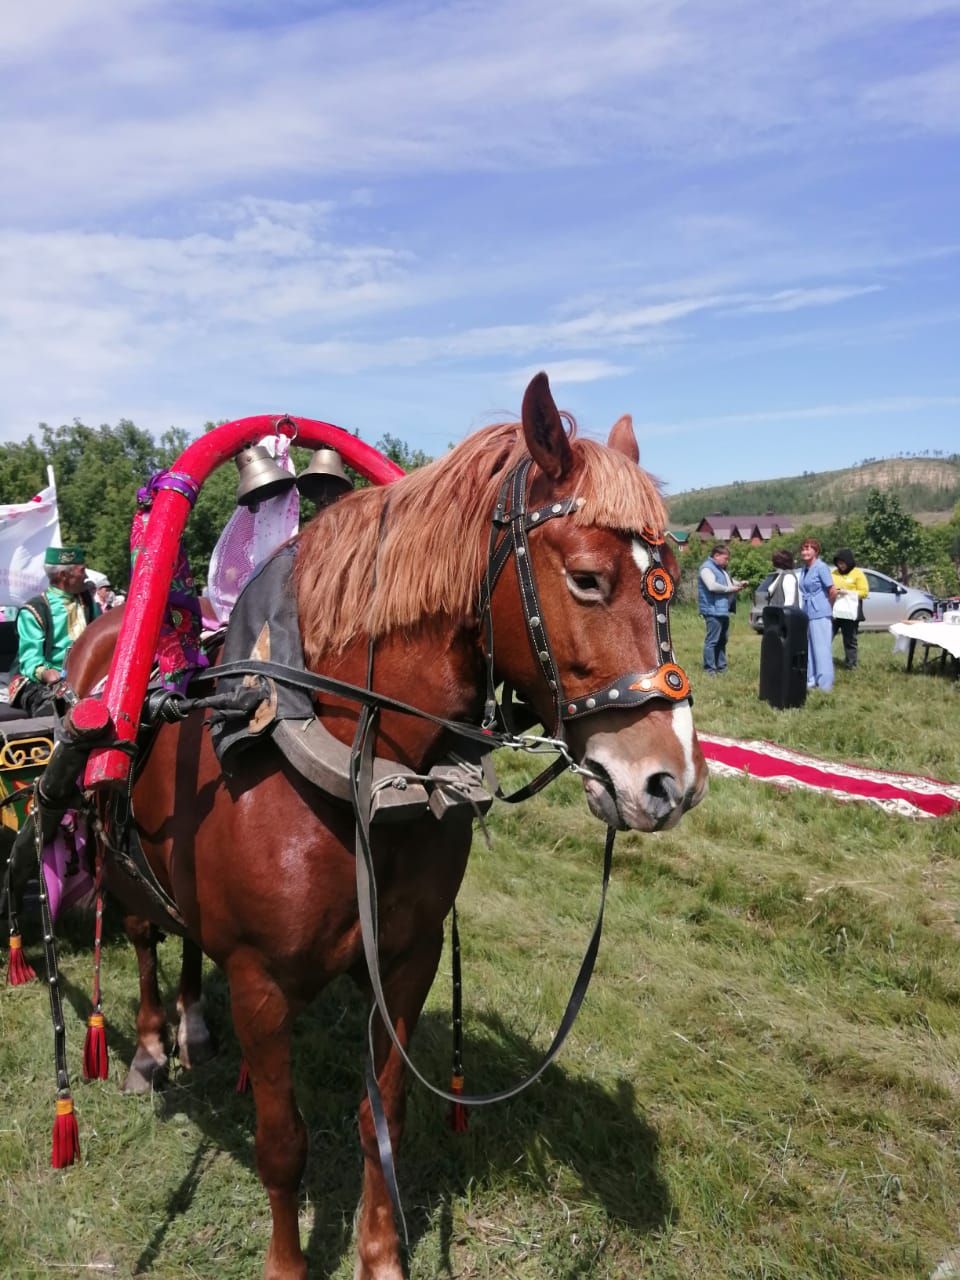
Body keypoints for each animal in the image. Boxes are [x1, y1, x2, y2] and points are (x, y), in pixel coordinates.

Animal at [71, 373, 711, 1280]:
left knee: (186, 934)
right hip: (112, 849)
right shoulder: (262, 983)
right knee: (139, 936)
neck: (359, 763)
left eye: (676, 576)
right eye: (588, 579)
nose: (669, 782)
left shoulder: (406, 960)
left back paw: (194, 1023)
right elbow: (282, 1144)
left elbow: (385, 1121)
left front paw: (380, 1258)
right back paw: (154, 1045)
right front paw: (288, 1264)